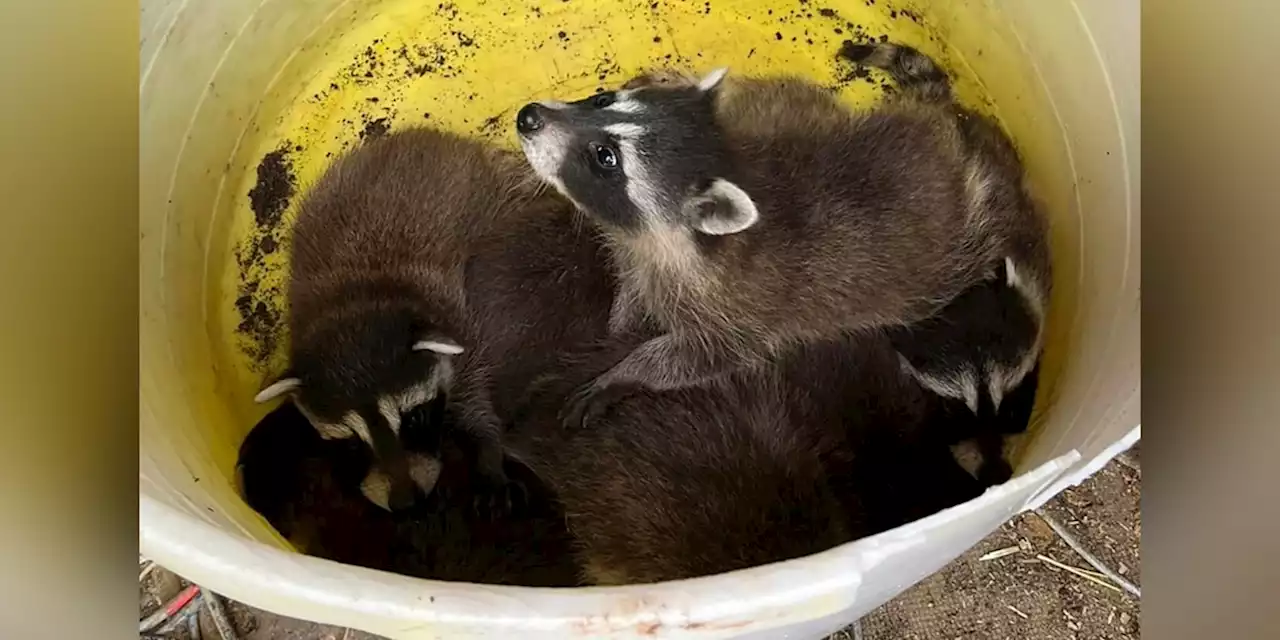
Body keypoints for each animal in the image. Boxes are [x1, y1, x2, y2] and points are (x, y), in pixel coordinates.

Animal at [253, 127, 604, 512]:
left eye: (414, 418)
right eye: (352, 444)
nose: (407, 503)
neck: (355, 302)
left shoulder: (461, 325)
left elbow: (474, 400)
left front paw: (486, 453)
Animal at [509, 42, 1049, 427]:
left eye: (606, 157)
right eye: (603, 98)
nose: (528, 115)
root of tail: (946, 125)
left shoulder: (738, 313)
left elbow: (693, 358)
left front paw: (626, 371)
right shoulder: (640, 255)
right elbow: (632, 292)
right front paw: (619, 326)